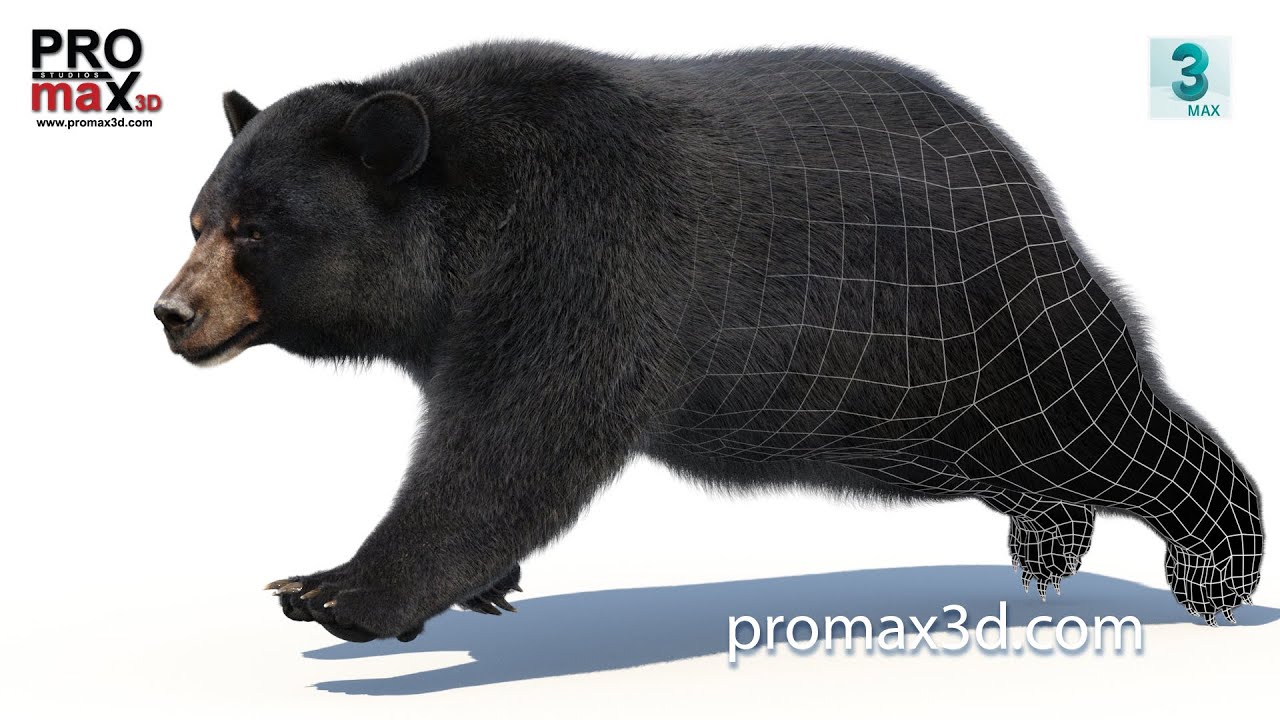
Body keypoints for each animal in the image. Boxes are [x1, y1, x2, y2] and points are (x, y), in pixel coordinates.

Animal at [154, 41, 1263, 643]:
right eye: (197, 220)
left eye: (254, 230)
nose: (171, 313)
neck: (467, 226)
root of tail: (1031, 181)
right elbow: (495, 447)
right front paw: (477, 590)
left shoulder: (587, 251)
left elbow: (516, 441)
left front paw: (331, 589)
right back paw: (1047, 545)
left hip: (976, 335)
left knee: (1105, 420)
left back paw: (1215, 562)